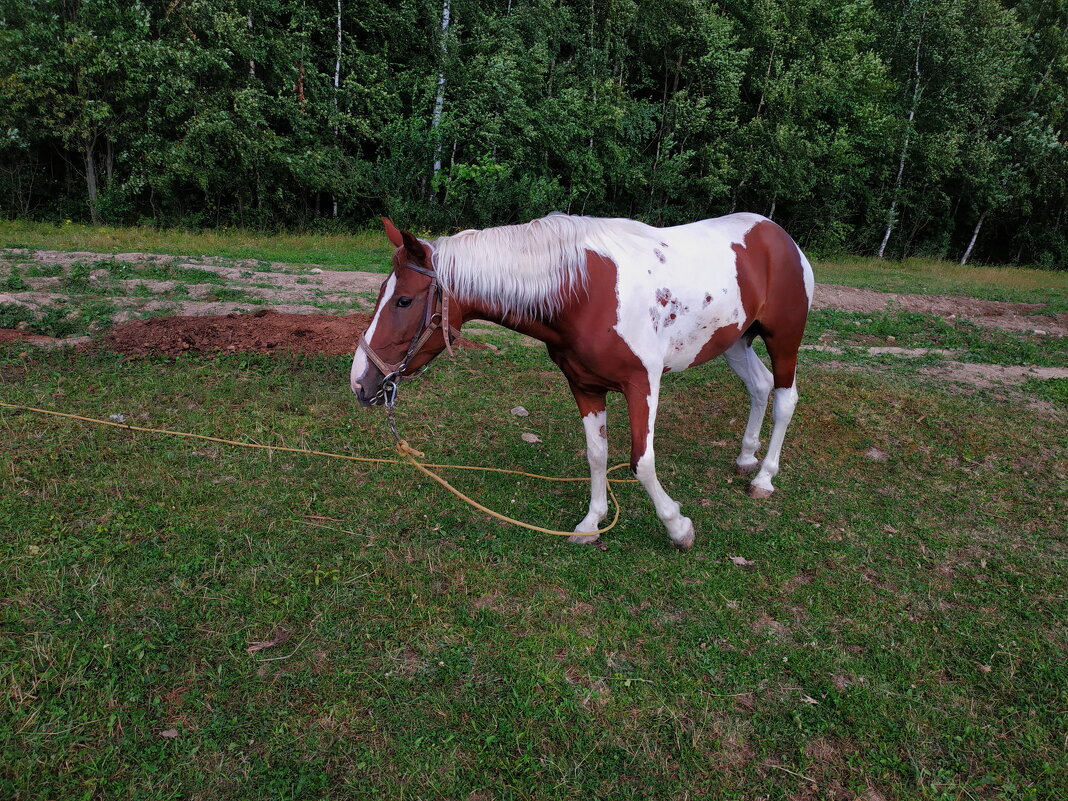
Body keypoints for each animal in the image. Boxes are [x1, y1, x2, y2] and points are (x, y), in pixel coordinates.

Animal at [350, 213, 807, 551]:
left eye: (404, 300)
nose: (360, 383)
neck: (584, 293)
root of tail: (777, 234)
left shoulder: (643, 385)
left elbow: (642, 462)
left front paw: (678, 527)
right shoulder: (585, 386)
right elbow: (597, 454)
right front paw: (592, 523)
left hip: (784, 340)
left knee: (785, 398)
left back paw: (763, 479)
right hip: (736, 341)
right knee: (760, 386)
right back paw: (746, 457)